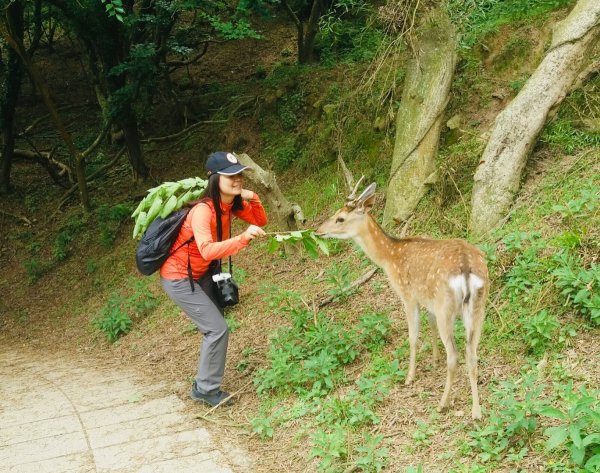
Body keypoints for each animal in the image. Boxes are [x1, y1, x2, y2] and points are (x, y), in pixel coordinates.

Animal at [314, 179, 488, 418]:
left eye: (340, 217)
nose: (318, 230)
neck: (388, 258)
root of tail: (467, 268)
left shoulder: (408, 296)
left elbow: (413, 337)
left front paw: (410, 376)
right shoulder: (428, 300)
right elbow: (430, 325)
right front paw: (434, 360)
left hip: (446, 306)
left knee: (454, 354)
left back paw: (443, 403)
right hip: (478, 306)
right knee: (472, 353)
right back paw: (476, 411)